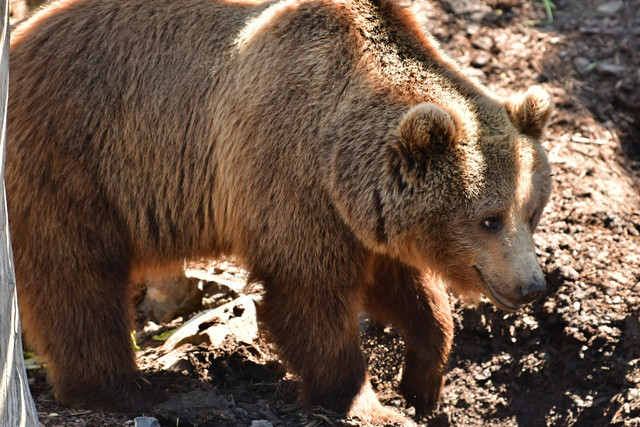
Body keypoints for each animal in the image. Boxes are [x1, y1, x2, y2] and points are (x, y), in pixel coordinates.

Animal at [7, 0, 553, 424]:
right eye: (489, 219)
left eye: (531, 212)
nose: (532, 285)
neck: (338, 154)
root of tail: (19, 38)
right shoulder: (287, 172)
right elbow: (309, 295)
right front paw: (366, 403)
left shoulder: (360, 214)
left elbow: (407, 290)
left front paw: (422, 384)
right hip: (75, 153)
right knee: (76, 275)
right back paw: (132, 390)